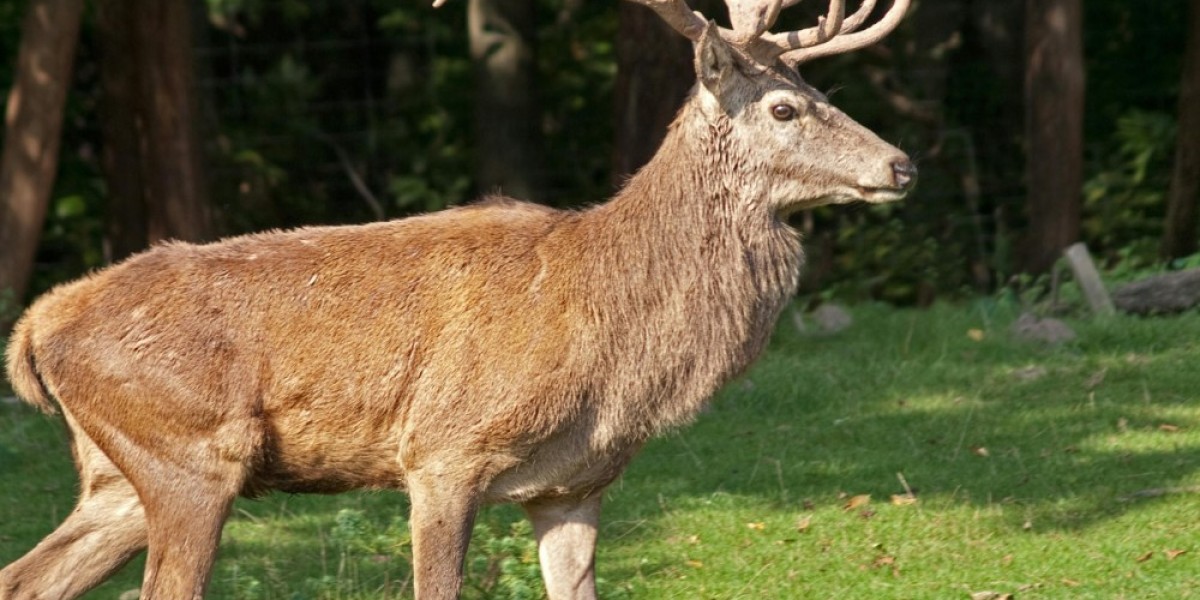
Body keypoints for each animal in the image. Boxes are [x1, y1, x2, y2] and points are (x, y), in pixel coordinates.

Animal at [1, 0, 913, 598]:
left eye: (826, 97)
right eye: (785, 106)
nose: (901, 164)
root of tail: (36, 326)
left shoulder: (573, 486)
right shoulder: (441, 450)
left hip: (117, 479)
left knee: (24, 578)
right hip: (192, 454)